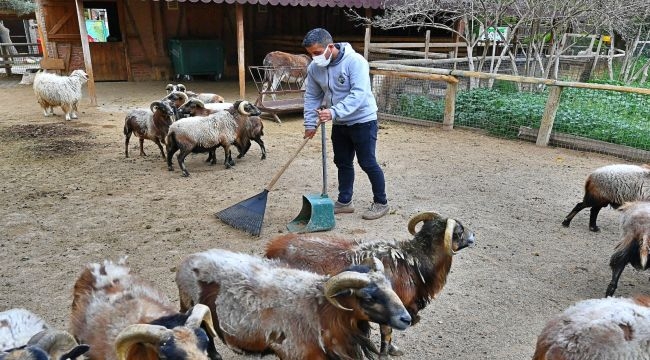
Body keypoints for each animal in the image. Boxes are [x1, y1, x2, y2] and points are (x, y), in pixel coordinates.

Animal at [175, 249, 408, 360]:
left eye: (390, 287)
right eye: (368, 298)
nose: (406, 318)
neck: (320, 311)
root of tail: (188, 259)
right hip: (190, 305)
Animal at [264, 211, 476, 358]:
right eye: (459, 231)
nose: (474, 236)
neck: (413, 262)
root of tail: (270, 249)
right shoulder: (390, 311)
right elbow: (386, 335)